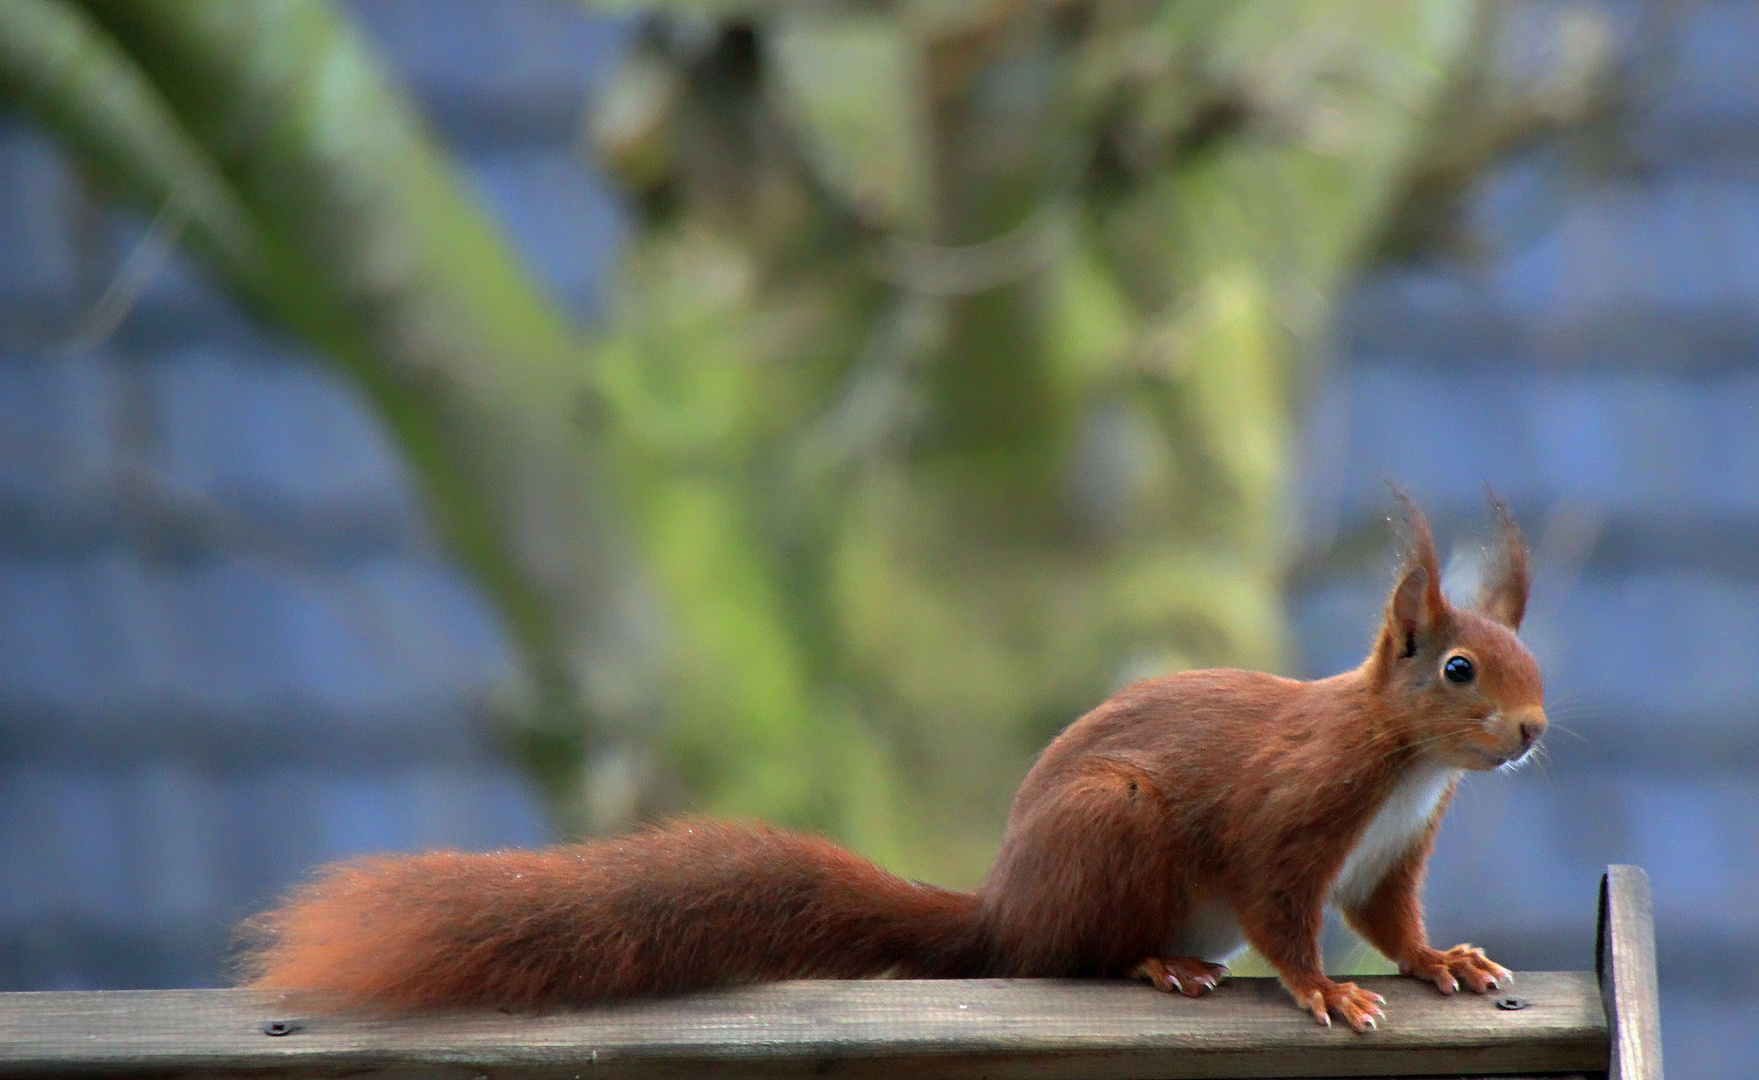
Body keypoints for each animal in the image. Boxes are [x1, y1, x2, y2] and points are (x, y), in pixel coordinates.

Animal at [244, 492, 1540, 1034]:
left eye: (1529, 657)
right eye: (1459, 670)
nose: (1530, 731)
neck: (1403, 764)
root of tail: (1000, 907)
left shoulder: (1390, 853)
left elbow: (1388, 919)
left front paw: (1444, 962)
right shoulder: (1292, 813)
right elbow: (1284, 908)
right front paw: (1324, 991)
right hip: (1112, 830)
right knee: (1067, 959)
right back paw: (1155, 965)